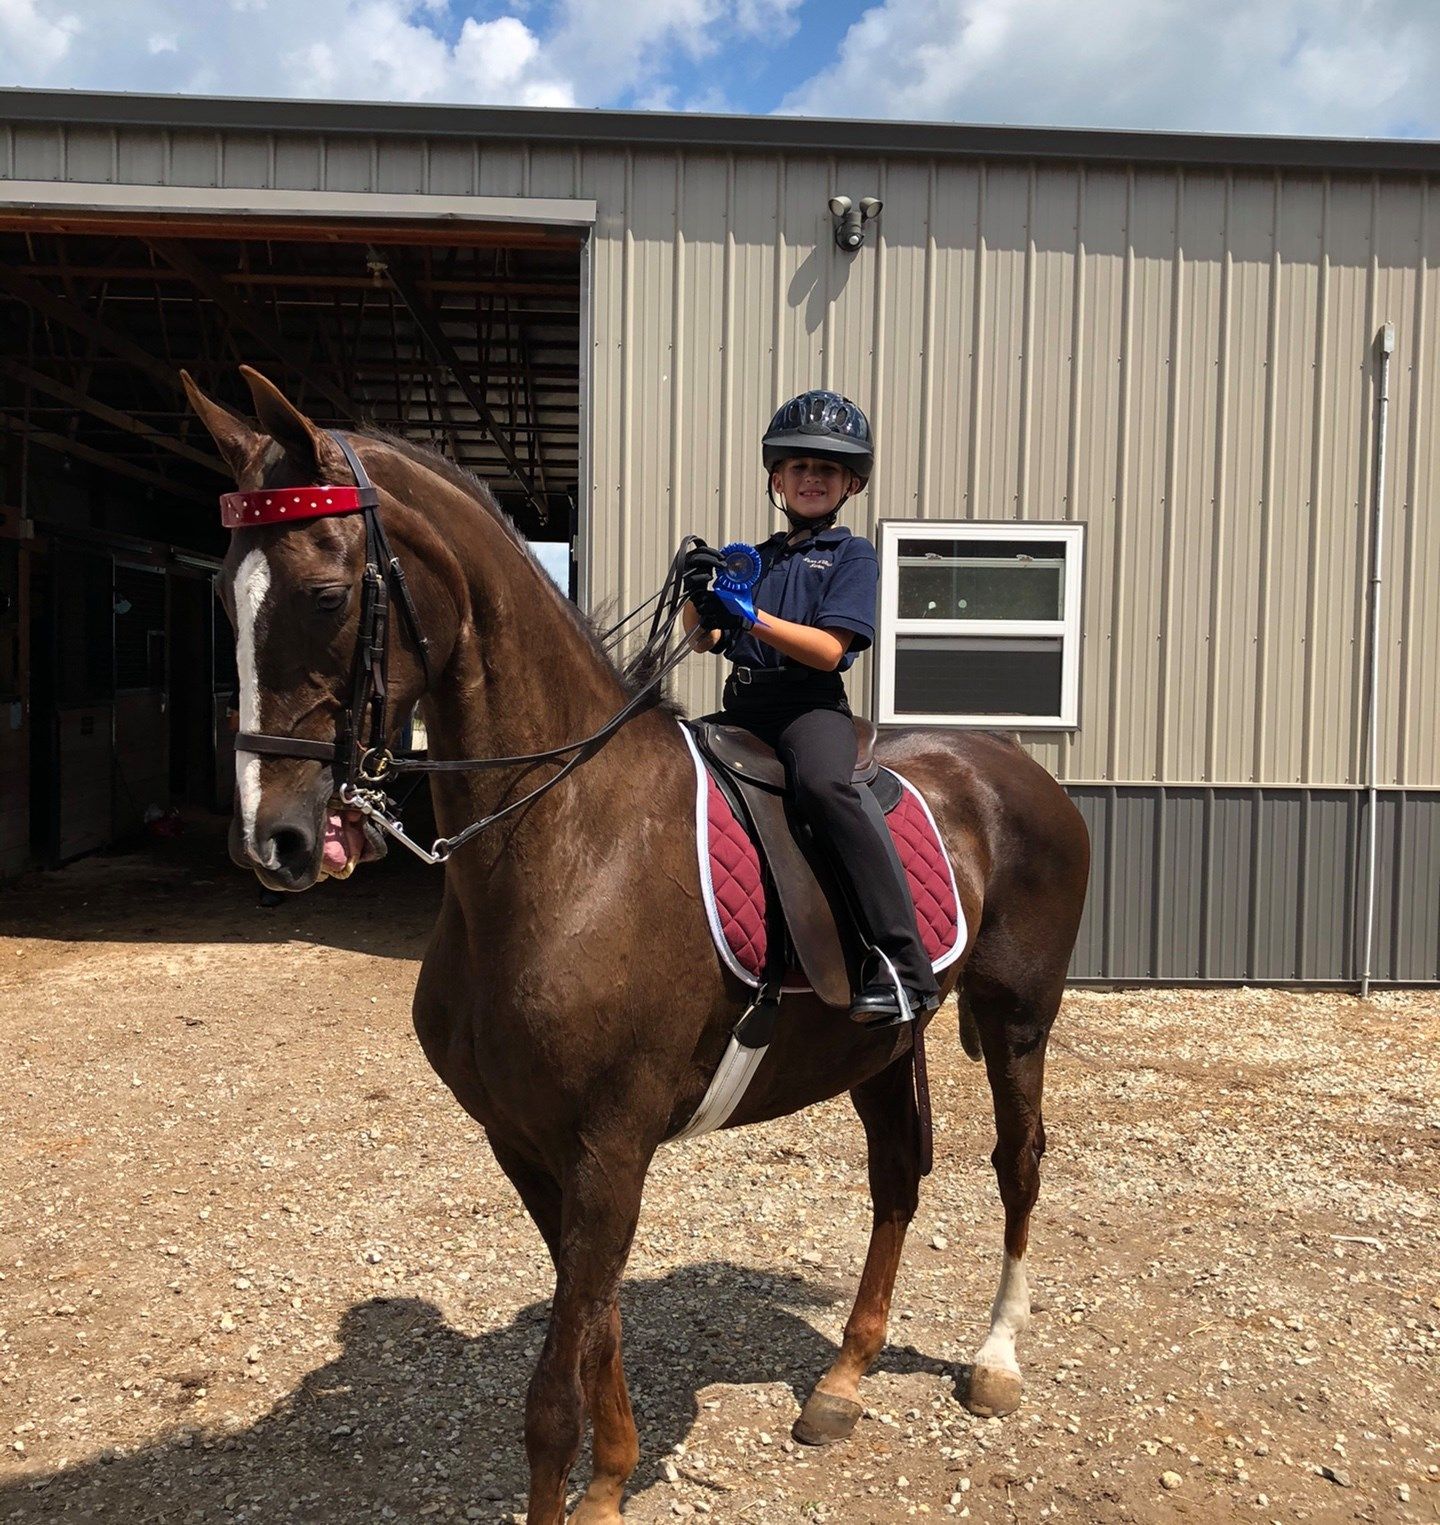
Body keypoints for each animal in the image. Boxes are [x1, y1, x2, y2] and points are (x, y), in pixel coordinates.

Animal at [183, 366, 1090, 1525]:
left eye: (327, 596)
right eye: (224, 596)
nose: (276, 840)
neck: (569, 838)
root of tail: (1012, 769)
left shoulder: (609, 1146)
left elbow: (549, 1401)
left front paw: (592, 1478)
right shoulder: (532, 1145)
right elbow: (598, 1325)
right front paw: (615, 1479)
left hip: (1017, 1020)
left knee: (1017, 1164)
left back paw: (995, 1361)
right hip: (883, 1046)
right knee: (897, 1178)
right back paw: (842, 1380)